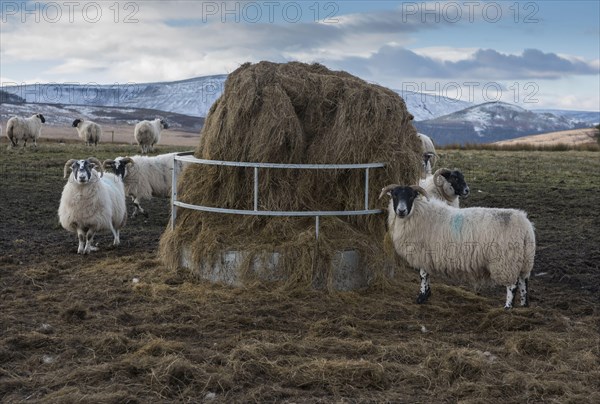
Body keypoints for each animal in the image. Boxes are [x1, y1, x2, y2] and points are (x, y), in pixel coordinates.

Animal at [380, 185, 536, 308]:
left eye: (411, 195)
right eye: (395, 195)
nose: (401, 211)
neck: (418, 213)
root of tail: (525, 226)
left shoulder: (423, 253)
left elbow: (423, 275)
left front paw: (421, 297)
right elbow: (426, 276)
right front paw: (427, 294)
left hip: (506, 261)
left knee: (512, 285)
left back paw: (508, 307)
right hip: (524, 260)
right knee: (524, 281)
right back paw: (524, 305)